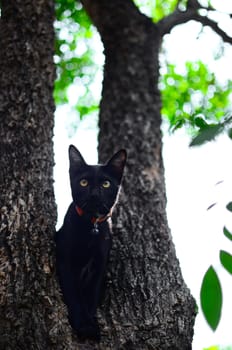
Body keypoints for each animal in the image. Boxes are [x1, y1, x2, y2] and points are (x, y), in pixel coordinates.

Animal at [55, 145, 126, 342]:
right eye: (84, 183)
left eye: (106, 184)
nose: (94, 194)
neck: (90, 226)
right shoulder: (65, 261)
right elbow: (74, 295)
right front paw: (84, 326)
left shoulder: (99, 266)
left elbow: (91, 297)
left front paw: (90, 324)